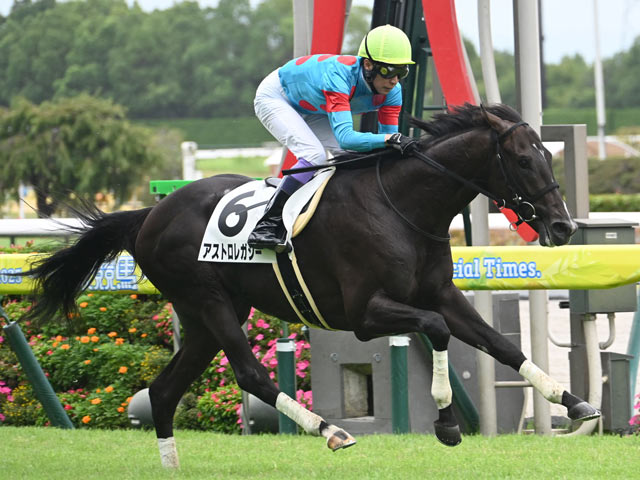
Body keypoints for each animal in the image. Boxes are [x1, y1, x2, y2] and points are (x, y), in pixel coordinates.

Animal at [22, 103, 600, 468]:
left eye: (549, 156)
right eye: (522, 160)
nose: (563, 227)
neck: (405, 207)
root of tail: (149, 215)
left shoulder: (441, 294)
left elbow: (499, 343)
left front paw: (574, 403)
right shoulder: (365, 314)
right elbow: (435, 331)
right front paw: (446, 423)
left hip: (208, 315)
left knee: (164, 392)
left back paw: (172, 465)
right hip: (207, 301)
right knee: (250, 374)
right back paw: (331, 430)